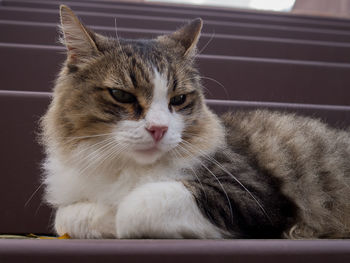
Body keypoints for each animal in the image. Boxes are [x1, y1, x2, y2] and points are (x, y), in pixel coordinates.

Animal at [41, 5, 350, 241]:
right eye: (122, 95)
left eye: (178, 99)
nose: (158, 129)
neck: (126, 167)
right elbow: (66, 216)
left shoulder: (255, 198)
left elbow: (134, 208)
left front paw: (115, 215)